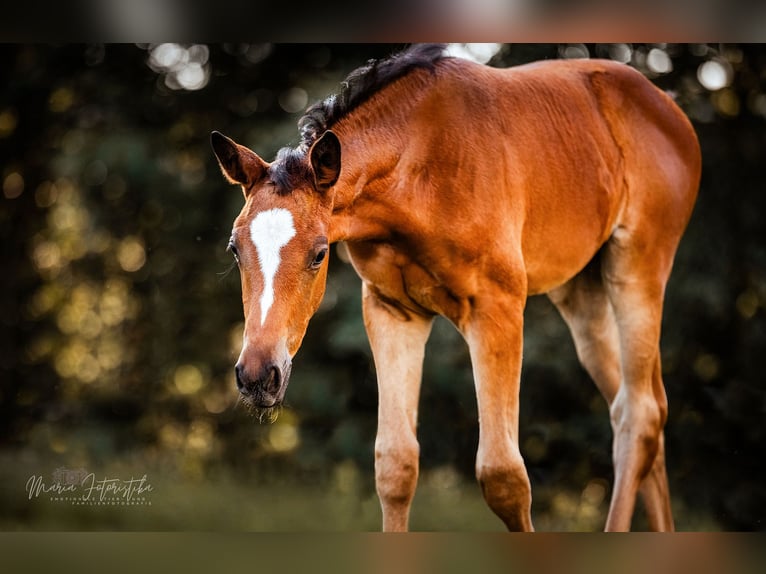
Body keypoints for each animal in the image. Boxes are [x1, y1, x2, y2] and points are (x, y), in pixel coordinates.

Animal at [211, 44, 700, 531]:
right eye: (234, 249)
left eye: (318, 254)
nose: (258, 375)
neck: (420, 167)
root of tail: (668, 108)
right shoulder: (392, 311)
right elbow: (395, 466)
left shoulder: (497, 308)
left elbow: (504, 476)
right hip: (582, 292)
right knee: (636, 408)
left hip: (637, 269)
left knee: (641, 413)